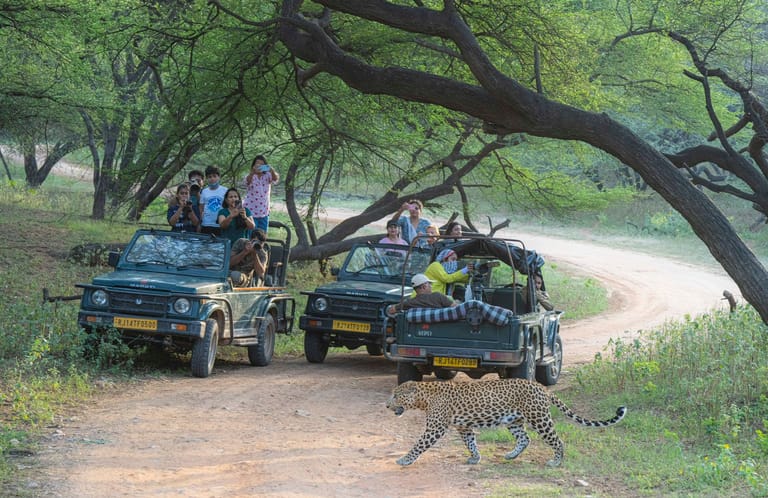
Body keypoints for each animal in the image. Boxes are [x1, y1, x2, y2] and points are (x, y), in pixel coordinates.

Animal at [386, 378, 626, 467]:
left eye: (396, 396)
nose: (387, 406)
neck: (424, 398)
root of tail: (542, 387)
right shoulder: (464, 426)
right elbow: (471, 443)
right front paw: (475, 458)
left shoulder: (435, 428)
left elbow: (418, 445)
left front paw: (404, 459)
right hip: (515, 420)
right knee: (525, 438)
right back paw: (511, 455)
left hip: (539, 418)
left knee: (558, 441)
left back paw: (556, 462)